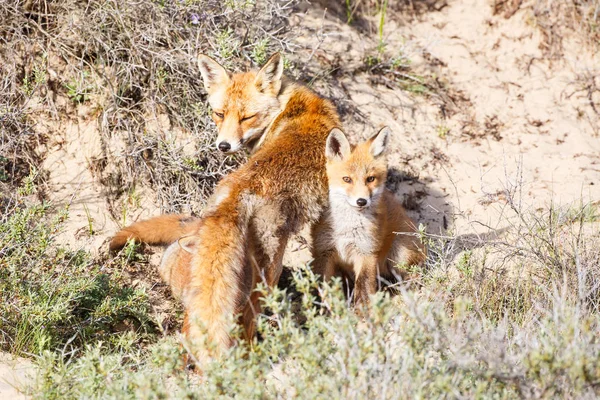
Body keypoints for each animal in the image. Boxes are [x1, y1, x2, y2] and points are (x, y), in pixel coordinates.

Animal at [109, 53, 340, 362]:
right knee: (251, 315)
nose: (223, 146)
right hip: (270, 266)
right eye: (220, 114)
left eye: (246, 117)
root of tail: (238, 188)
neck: (289, 105)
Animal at [310, 127, 426, 306]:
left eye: (370, 179)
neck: (347, 227)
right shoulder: (324, 251)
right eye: (347, 179)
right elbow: (320, 287)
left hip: (398, 254)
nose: (361, 201)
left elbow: (363, 288)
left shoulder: (367, 252)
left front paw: (363, 311)